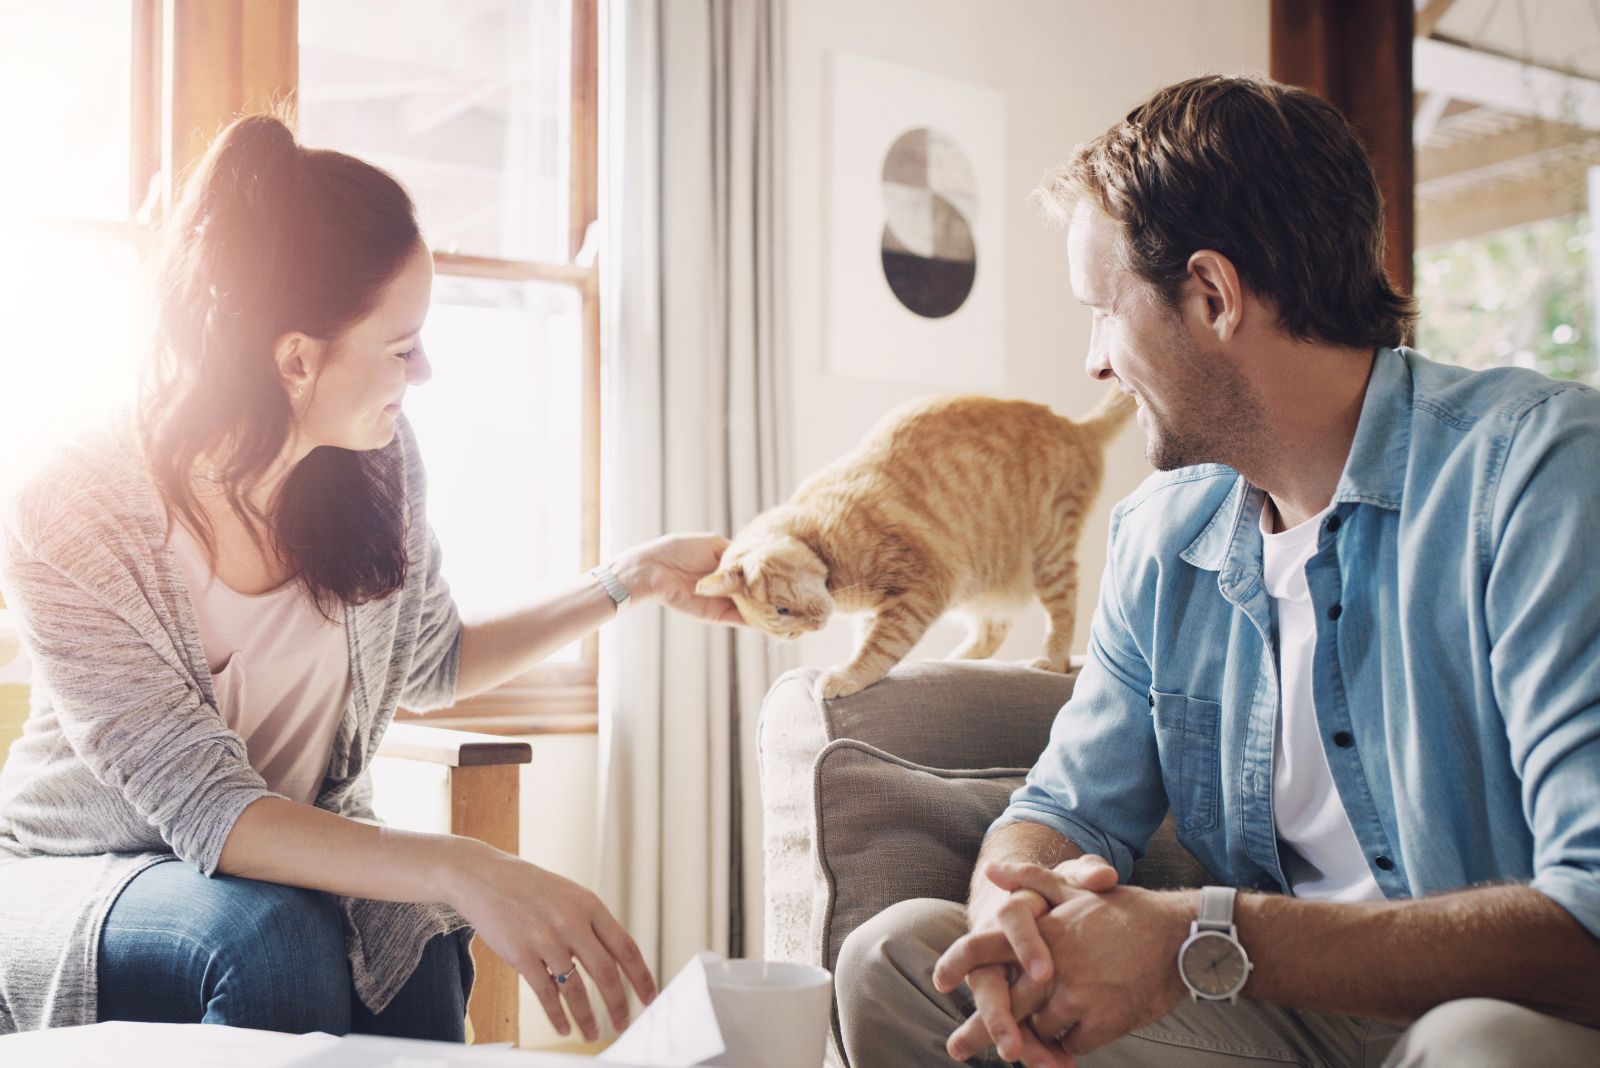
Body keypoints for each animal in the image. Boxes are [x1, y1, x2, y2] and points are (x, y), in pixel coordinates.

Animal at [700, 388, 1139, 697]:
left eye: (782, 609)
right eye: (788, 631)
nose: (813, 626)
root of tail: (1076, 427)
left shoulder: (923, 586)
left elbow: (879, 646)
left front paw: (848, 675)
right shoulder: (890, 604)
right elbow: (870, 639)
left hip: (1050, 554)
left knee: (1063, 612)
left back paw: (1051, 659)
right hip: (984, 580)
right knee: (992, 630)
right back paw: (958, 662)